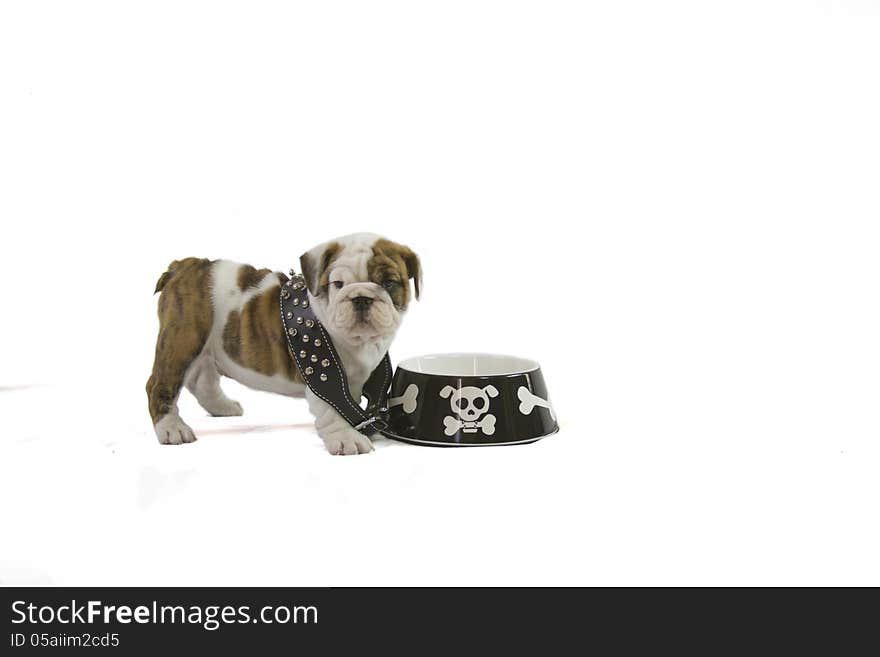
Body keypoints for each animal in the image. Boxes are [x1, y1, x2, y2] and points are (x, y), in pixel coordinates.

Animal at [144, 234, 420, 456]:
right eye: (337, 284)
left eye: (389, 283)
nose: (361, 298)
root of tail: (183, 266)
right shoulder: (323, 373)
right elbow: (332, 407)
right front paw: (346, 437)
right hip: (183, 340)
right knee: (160, 385)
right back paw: (172, 429)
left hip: (207, 348)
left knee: (202, 380)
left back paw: (221, 407)